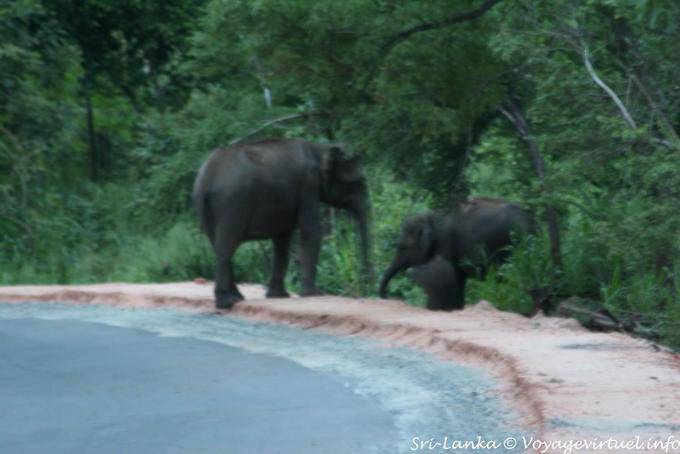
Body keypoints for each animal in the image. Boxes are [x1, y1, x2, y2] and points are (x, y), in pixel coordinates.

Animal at [193, 138, 371, 309]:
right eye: (359, 182)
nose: (366, 282)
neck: (319, 149)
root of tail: (206, 181)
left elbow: (282, 240)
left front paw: (278, 296)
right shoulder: (308, 186)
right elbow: (310, 231)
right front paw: (314, 294)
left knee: (219, 246)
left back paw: (237, 298)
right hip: (232, 203)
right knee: (226, 246)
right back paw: (227, 303)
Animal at [379, 197, 533, 310]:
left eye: (402, 247)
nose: (385, 296)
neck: (433, 216)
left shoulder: (447, 245)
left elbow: (448, 274)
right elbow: (459, 277)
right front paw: (458, 308)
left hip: (507, 245)